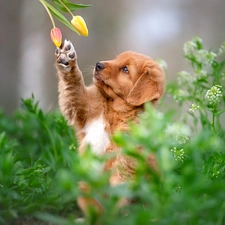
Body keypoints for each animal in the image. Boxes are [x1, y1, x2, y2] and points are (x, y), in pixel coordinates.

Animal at [55, 39, 165, 214]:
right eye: (116, 59)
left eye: (125, 69)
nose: (98, 64)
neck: (114, 110)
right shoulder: (84, 106)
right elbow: (75, 86)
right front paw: (67, 59)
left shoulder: (124, 165)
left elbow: (119, 195)